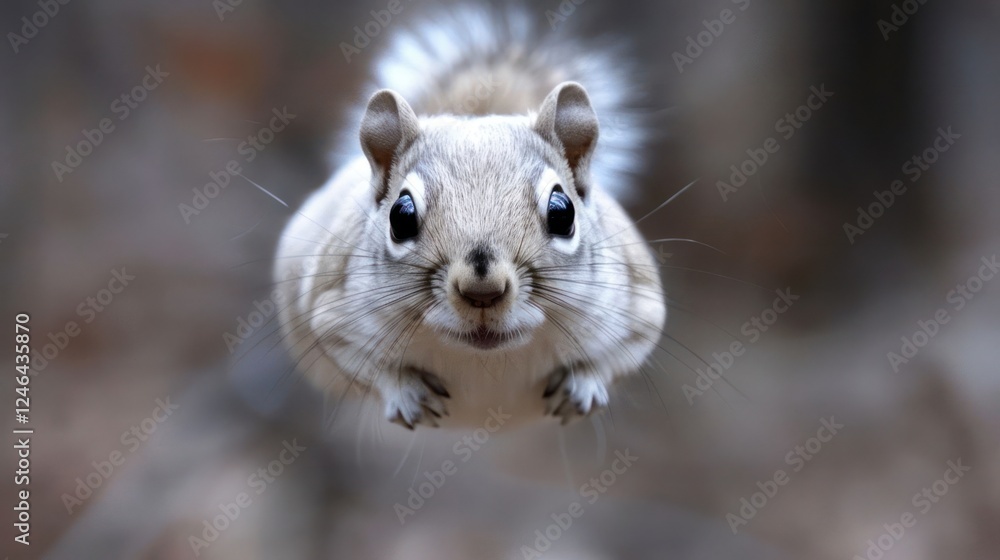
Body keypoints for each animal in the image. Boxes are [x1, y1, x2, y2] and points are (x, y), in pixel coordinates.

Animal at [273, 5, 666, 430]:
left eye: (562, 214)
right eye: (400, 216)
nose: (483, 292)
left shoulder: (640, 305)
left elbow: (622, 353)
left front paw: (584, 386)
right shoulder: (329, 312)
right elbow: (359, 361)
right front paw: (405, 393)